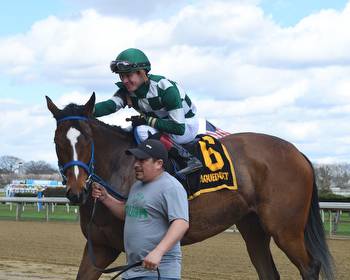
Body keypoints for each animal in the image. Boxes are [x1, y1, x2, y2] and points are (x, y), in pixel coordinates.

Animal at [46, 94, 334, 280]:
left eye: (86, 139)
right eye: (57, 141)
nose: (76, 192)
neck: (120, 167)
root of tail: (297, 152)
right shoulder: (99, 247)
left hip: (285, 229)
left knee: (310, 266)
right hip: (253, 227)